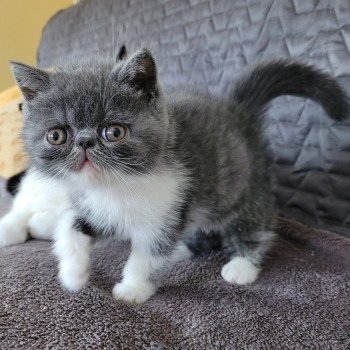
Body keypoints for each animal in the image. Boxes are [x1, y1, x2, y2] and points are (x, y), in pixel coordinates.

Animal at [1, 47, 348, 304]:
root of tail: (239, 112)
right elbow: (70, 226)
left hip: (246, 186)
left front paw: (133, 289)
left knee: (254, 224)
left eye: (114, 132)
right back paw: (183, 249)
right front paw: (73, 274)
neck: (114, 186)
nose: (85, 142)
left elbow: (147, 254)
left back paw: (242, 265)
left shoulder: (167, 207)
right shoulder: (96, 208)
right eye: (57, 135)